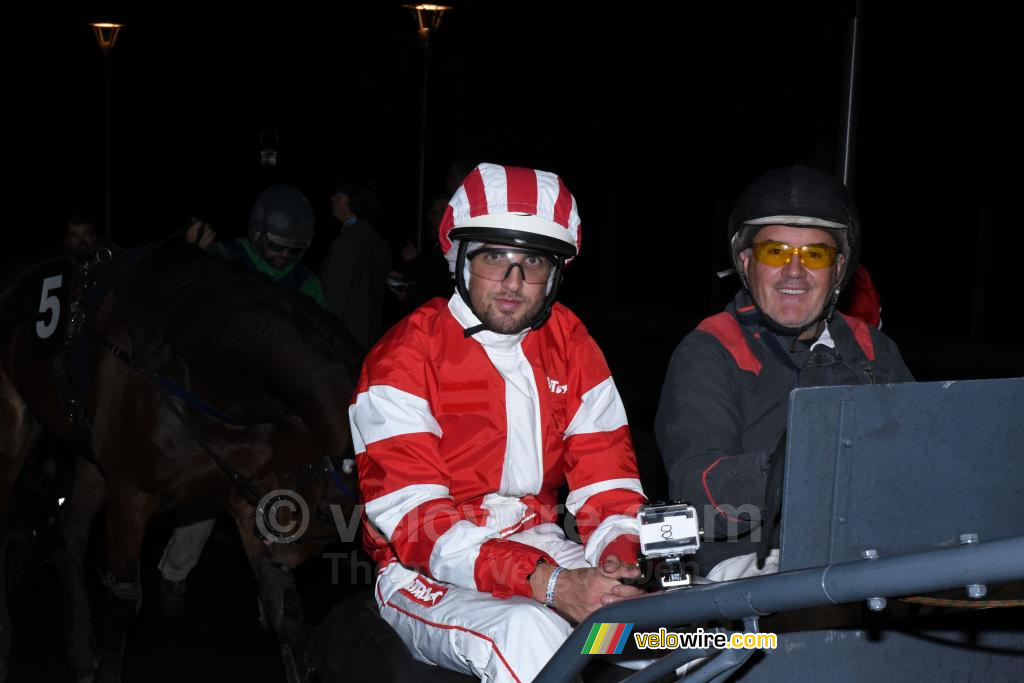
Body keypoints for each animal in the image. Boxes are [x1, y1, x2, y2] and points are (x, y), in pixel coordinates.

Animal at [0, 244, 364, 683]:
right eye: (329, 514)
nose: (283, 556)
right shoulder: (131, 495)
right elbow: (124, 602)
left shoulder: (248, 492)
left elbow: (284, 610)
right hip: (14, 432)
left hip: (89, 457)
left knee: (68, 538)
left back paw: (81, 651)